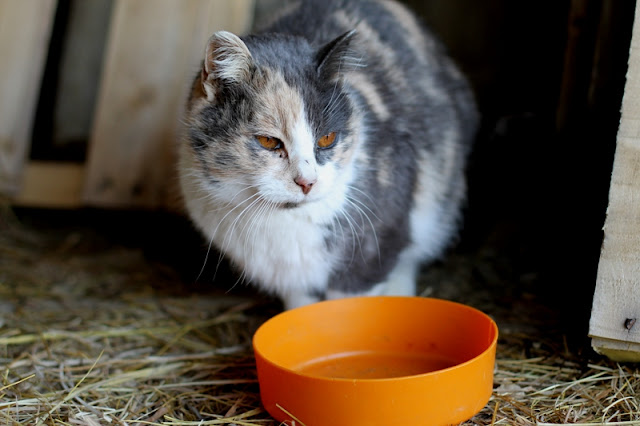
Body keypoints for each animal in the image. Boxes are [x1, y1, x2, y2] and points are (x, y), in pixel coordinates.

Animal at [178, 0, 478, 310]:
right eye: (268, 141)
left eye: (327, 138)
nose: (307, 181)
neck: (284, 222)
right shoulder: (294, 281)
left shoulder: (373, 247)